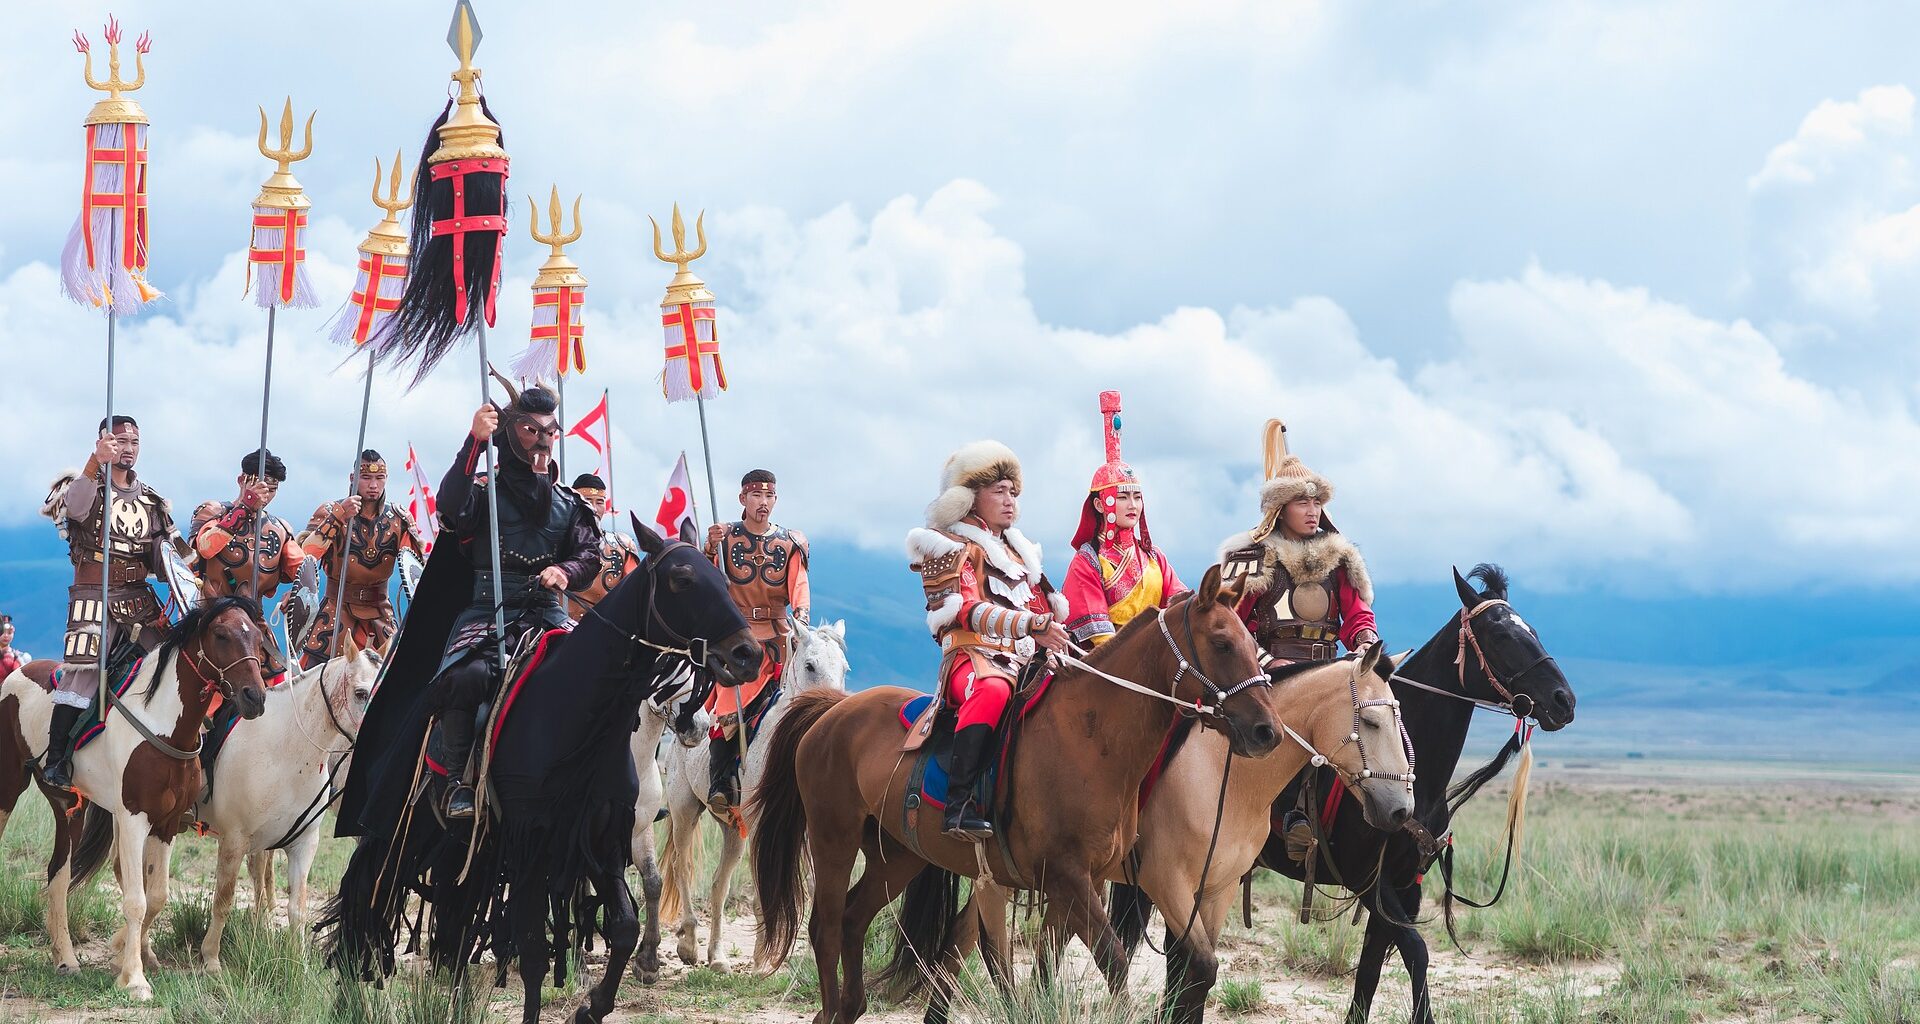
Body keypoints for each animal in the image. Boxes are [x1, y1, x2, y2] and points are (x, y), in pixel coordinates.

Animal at [0, 591, 272, 999]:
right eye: (222, 636)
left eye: (256, 637)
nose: (254, 697)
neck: (164, 727)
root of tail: (17, 673)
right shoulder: (131, 819)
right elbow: (135, 900)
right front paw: (135, 979)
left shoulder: (167, 823)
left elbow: (156, 896)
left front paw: (124, 962)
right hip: (9, 787)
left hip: (69, 806)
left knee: (58, 873)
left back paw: (65, 959)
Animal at [193, 633, 378, 968]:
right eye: (361, 693)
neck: (285, 752)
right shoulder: (234, 840)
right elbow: (224, 898)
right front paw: (211, 957)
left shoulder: (302, 844)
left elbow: (297, 908)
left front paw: (298, 962)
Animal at [318, 522, 760, 1024]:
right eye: (682, 579)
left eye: (722, 579)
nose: (748, 654)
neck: (575, 714)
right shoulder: (532, 840)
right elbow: (531, 949)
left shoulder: (600, 838)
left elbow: (624, 924)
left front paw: (595, 1004)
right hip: (402, 828)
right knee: (369, 891)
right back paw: (351, 986)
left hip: (462, 841)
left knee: (456, 906)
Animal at [752, 568, 1290, 1022]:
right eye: (1221, 643)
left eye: (1252, 642)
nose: (1267, 732)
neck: (1091, 736)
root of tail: (831, 711)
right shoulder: (1075, 876)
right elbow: (1112, 962)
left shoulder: (1086, 881)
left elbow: (1051, 963)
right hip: (833, 838)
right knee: (825, 924)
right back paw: (831, 1010)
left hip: (897, 855)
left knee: (854, 918)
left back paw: (851, 1006)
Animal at [1113, 564, 1574, 1014]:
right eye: (1501, 634)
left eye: (1532, 629)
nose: (1564, 701)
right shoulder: (1365, 879)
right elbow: (1417, 951)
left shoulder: (1405, 886)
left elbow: (1372, 969)